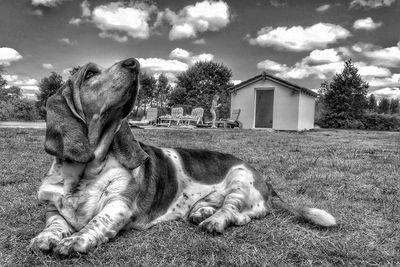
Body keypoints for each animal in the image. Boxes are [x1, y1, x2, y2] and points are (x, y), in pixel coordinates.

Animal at [29, 58, 336, 258]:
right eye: (90, 74)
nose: (134, 63)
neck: (87, 169)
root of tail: (267, 183)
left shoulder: (118, 205)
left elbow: (97, 222)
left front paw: (75, 241)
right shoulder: (53, 209)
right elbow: (54, 224)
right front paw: (44, 238)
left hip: (240, 179)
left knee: (234, 211)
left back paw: (213, 221)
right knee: (237, 214)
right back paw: (202, 212)